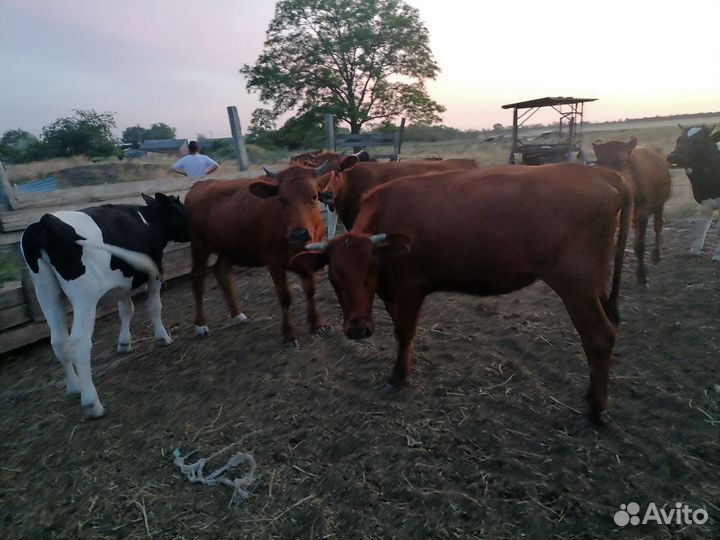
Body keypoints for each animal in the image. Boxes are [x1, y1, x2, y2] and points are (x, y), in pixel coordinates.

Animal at [19, 194, 189, 418]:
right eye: (180, 209)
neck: (149, 219)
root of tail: (46, 221)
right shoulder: (155, 273)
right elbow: (154, 306)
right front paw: (163, 337)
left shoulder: (122, 283)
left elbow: (126, 309)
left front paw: (124, 343)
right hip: (85, 296)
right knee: (79, 341)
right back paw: (92, 403)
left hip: (46, 292)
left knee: (58, 340)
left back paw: (74, 387)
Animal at [185, 163, 329, 347]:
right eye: (281, 199)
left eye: (313, 196)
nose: (299, 234)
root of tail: (201, 184)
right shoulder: (274, 262)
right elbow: (285, 298)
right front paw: (289, 335)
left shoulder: (308, 258)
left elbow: (310, 291)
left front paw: (317, 324)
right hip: (199, 245)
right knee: (198, 280)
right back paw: (201, 324)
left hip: (228, 247)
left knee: (222, 273)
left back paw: (237, 314)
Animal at [291, 163, 632, 425]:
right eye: (333, 275)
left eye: (372, 266)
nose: (358, 330)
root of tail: (604, 174)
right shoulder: (391, 294)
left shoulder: (410, 287)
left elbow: (404, 332)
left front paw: (398, 377)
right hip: (595, 283)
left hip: (575, 283)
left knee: (598, 336)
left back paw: (596, 409)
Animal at [592, 137, 671, 287]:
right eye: (598, 162)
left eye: (620, 161)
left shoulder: (643, 213)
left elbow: (639, 245)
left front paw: (642, 276)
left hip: (660, 205)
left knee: (658, 227)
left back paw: (656, 255)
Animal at [667, 125, 720, 260]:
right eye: (678, 140)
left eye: (699, 141)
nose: (673, 156)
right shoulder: (704, 200)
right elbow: (701, 224)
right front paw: (694, 250)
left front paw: (718, 254)